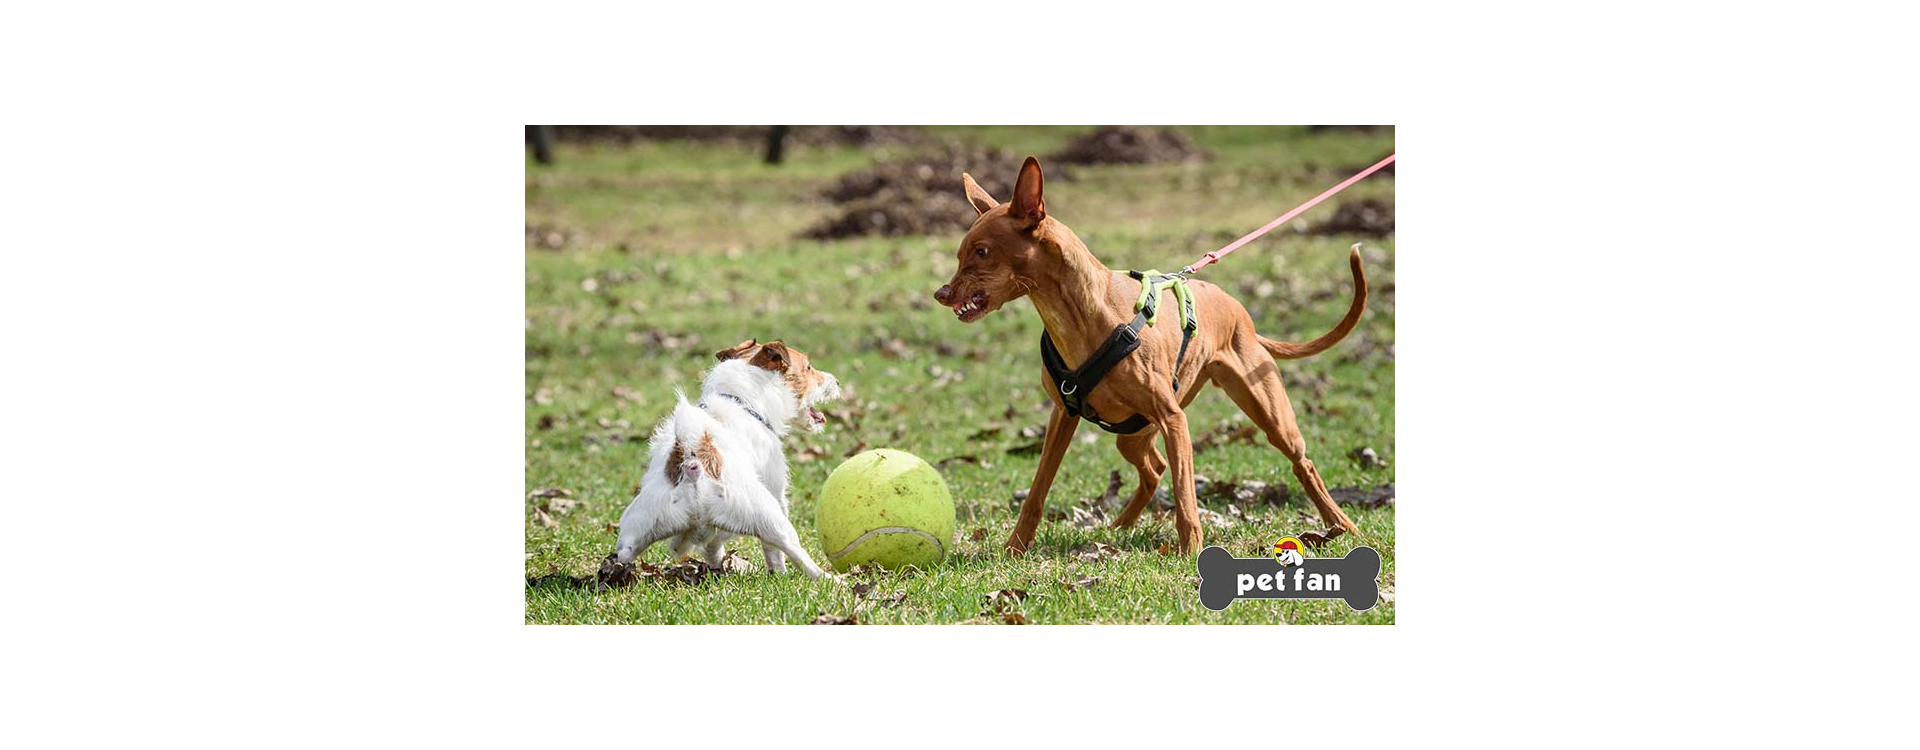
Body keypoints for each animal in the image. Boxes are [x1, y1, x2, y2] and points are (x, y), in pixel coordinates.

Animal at [602, 337, 837, 579]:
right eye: (808, 367)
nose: (837, 381)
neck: (741, 401)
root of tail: (694, 464)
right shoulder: (776, 489)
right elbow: (773, 552)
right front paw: (779, 573)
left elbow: (713, 544)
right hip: (769, 517)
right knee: (795, 552)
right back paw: (829, 579)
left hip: (638, 527)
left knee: (623, 554)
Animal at [933, 157, 1367, 556]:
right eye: (959, 254)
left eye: (982, 251)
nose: (941, 294)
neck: (1081, 315)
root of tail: (1240, 312)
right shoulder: (1063, 415)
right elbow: (1037, 492)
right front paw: (1015, 548)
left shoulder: (1174, 420)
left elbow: (1185, 497)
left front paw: (1190, 551)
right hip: (1133, 434)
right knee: (1154, 470)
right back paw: (1120, 526)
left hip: (1268, 415)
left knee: (1302, 464)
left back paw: (1341, 525)